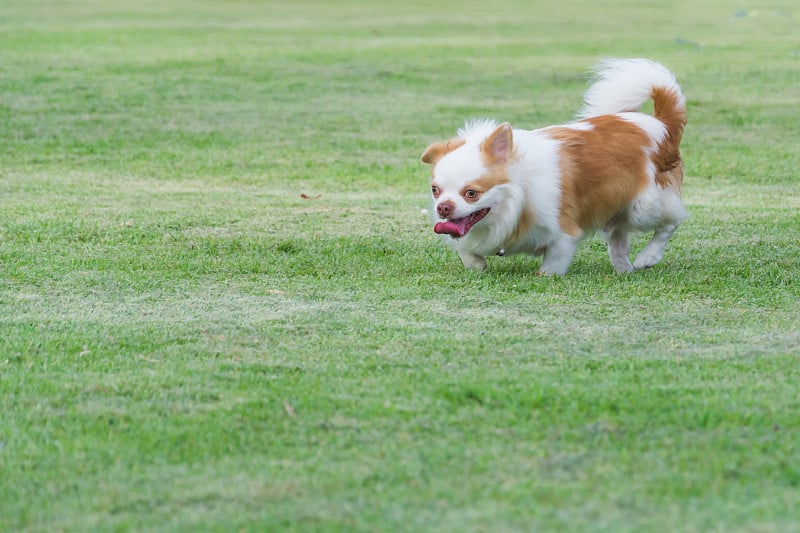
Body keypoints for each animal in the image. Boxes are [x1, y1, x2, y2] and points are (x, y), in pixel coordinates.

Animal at [418, 57, 688, 274]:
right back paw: (624, 269)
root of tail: (660, 124)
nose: (443, 207)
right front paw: (477, 265)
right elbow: (466, 251)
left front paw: (546, 276)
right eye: (435, 191)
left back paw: (647, 258)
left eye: (471, 193)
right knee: (618, 238)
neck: (517, 198)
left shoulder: (563, 234)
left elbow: (552, 264)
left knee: (672, 221)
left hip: (644, 206)